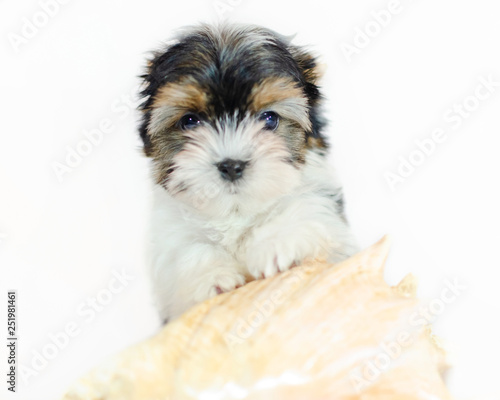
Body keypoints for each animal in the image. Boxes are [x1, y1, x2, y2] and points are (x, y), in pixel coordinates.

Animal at [139, 23, 358, 322]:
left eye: (269, 119)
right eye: (190, 122)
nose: (232, 165)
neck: (236, 211)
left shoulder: (320, 206)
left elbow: (303, 211)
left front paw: (279, 244)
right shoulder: (169, 232)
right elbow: (185, 249)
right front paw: (212, 276)